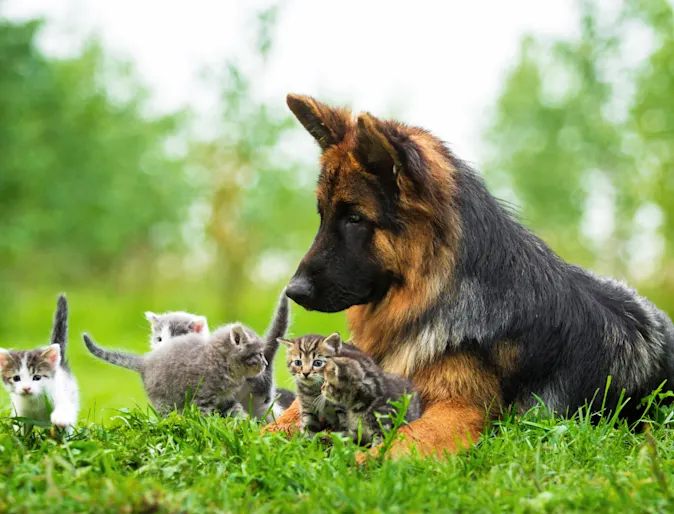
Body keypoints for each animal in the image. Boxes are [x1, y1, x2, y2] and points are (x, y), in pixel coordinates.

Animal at [0, 292, 79, 432]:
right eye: (16, 378)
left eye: (37, 377)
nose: (26, 388)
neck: (34, 401)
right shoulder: (20, 413)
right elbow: (21, 429)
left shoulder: (61, 396)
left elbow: (65, 409)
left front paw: (60, 419)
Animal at [86, 324, 268, 416]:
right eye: (259, 354)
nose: (266, 363)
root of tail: (146, 361)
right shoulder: (201, 399)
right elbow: (206, 419)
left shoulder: (226, 399)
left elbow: (236, 412)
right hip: (164, 401)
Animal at [262, 93, 672, 456]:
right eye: (323, 216)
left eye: (354, 218)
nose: (293, 291)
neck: (431, 299)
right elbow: (275, 425)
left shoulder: (458, 410)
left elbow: (398, 443)